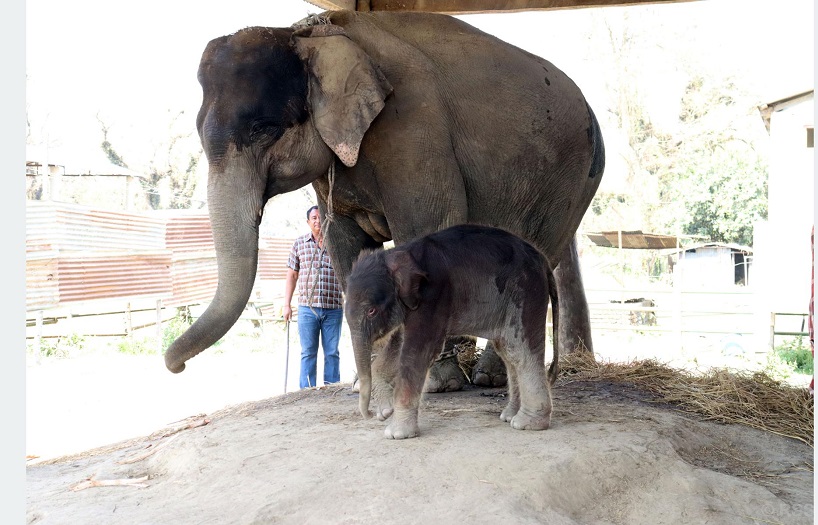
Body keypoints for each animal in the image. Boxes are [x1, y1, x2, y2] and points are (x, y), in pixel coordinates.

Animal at [163, 10, 604, 384]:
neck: (308, 33)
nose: (177, 367)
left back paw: (490, 377)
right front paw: (371, 379)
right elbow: (344, 245)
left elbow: (430, 225)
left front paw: (433, 381)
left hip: (571, 179)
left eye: (262, 129)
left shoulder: (412, 127)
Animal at [342, 223, 556, 440]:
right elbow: (398, 345)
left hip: (526, 292)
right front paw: (385, 411)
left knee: (519, 350)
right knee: (507, 351)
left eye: (371, 311)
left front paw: (396, 434)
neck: (397, 254)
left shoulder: (433, 295)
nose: (371, 415)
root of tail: (543, 261)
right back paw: (509, 416)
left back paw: (526, 424)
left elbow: (416, 352)